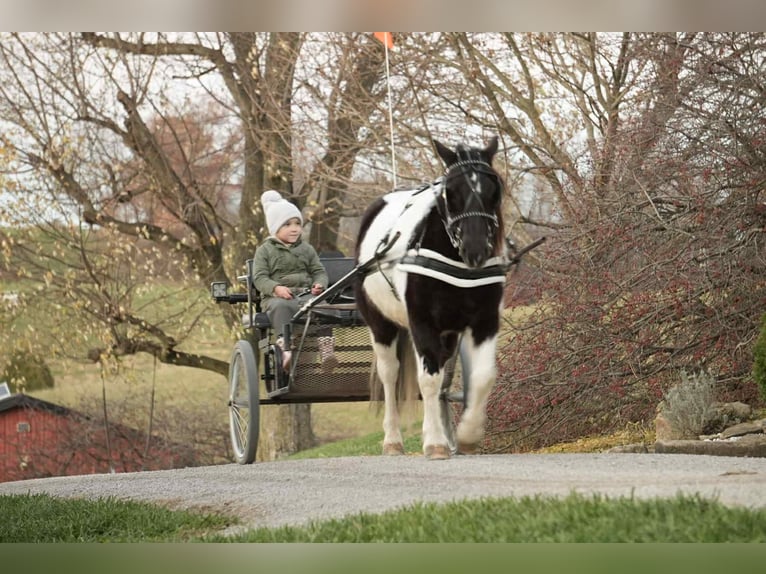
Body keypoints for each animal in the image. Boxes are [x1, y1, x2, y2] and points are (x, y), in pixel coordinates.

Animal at [353, 136, 508, 459]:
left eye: (493, 190)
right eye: (451, 191)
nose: (475, 249)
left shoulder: (485, 321)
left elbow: (482, 377)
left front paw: (467, 435)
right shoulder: (422, 322)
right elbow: (428, 380)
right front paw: (436, 442)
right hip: (381, 324)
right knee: (391, 375)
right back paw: (393, 440)